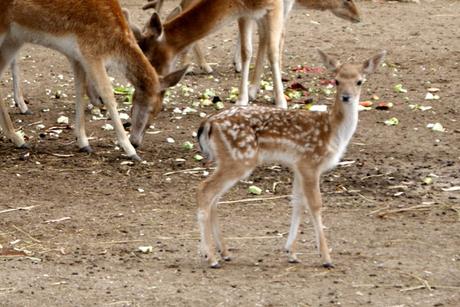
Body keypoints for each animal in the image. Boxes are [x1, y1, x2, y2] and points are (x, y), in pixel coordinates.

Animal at [1, 0, 187, 159]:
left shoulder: (76, 56)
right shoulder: (91, 52)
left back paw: (16, 138)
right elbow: (108, 94)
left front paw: (83, 143)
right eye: (152, 109)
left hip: (13, 39)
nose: (137, 141)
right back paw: (18, 136)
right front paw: (130, 151)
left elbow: (79, 92)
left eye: (159, 110)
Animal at [196, 49, 386, 268]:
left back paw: (224, 252)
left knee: (214, 197)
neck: (333, 132)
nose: (346, 97)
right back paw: (211, 257)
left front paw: (291, 253)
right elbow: (315, 204)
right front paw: (326, 258)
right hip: (239, 158)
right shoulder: (310, 162)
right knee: (205, 190)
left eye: (359, 81)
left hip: (228, 159)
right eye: (336, 80)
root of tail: (208, 123)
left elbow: (297, 203)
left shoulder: (298, 166)